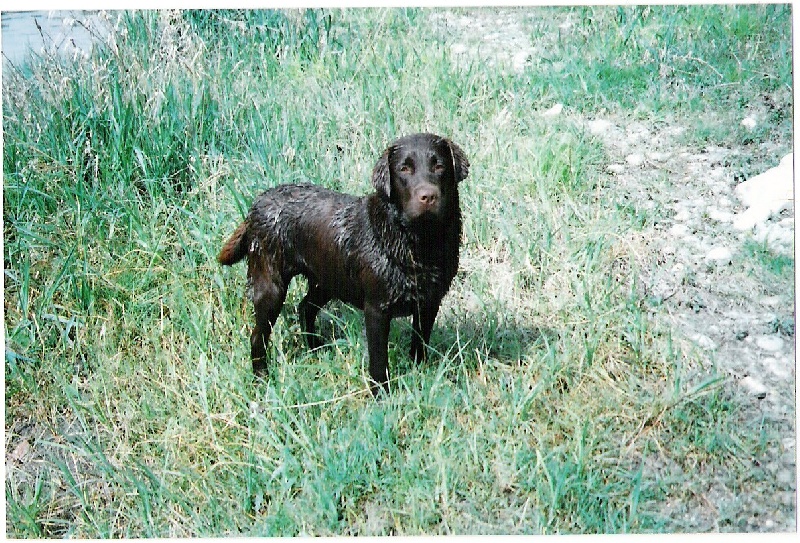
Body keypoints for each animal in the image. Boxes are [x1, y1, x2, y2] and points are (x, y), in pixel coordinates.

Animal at [217, 132, 468, 396]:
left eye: (439, 165)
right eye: (404, 169)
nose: (428, 196)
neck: (417, 244)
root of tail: (257, 204)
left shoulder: (430, 303)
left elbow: (419, 343)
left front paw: (420, 376)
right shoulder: (377, 309)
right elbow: (378, 360)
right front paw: (381, 395)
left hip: (328, 279)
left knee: (305, 308)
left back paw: (315, 349)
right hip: (270, 285)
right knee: (258, 336)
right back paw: (262, 379)